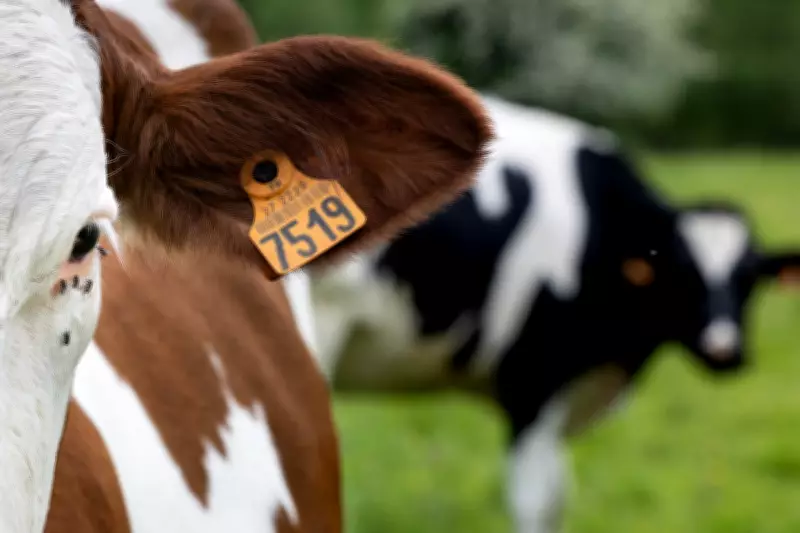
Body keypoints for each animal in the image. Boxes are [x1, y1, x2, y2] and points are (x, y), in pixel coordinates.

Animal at [308, 94, 800, 533]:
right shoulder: (532, 379)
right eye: (680, 273)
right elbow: (537, 501)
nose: (725, 349)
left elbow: (560, 494)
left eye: (749, 278)